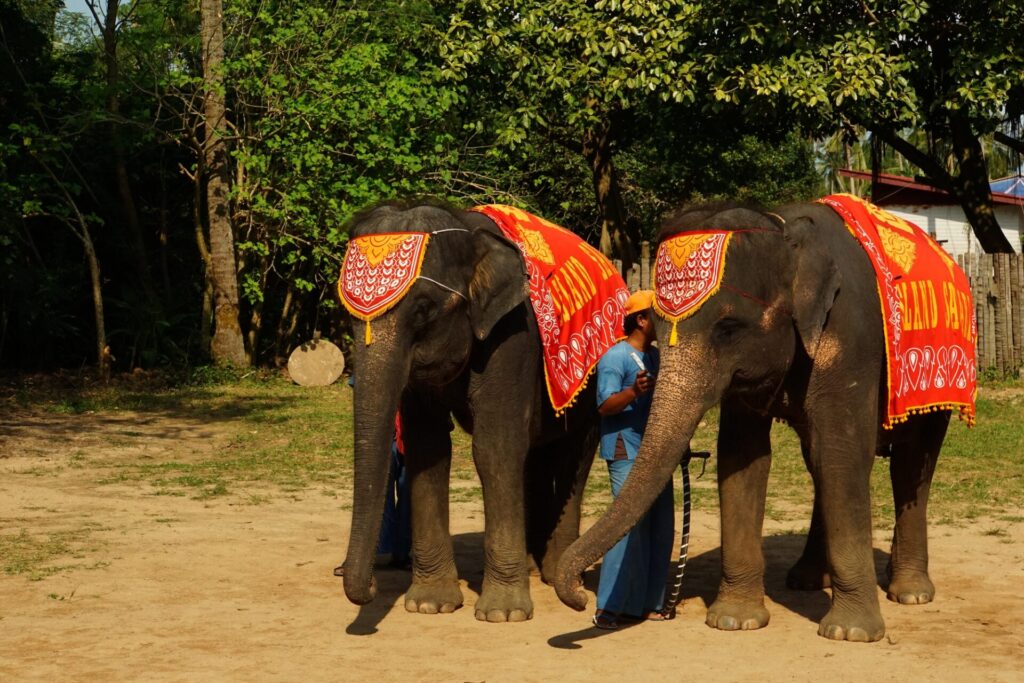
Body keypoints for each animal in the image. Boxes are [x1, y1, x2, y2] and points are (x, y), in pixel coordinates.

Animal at [337, 200, 622, 622]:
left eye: (422, 311)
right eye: (348, 316)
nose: (371, 585)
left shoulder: (514, 334)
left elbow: (495, 447)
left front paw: (504, 614)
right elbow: (429, 449)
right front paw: (430, 604)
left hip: (596, 375)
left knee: (574, 452)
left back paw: (556, 573)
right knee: (535, 454)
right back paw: (533, 564)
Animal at [557, 200, 970, 643]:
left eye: (727, 329)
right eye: (656, 324)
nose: (579, 596)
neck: (784, 230)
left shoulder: (850, 335)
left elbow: (842, 452)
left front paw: (850, 633)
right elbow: (744, 456)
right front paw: (734, 621)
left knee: (911, 464)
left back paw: (909, 592)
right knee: (817, 461)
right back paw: (808, 580)